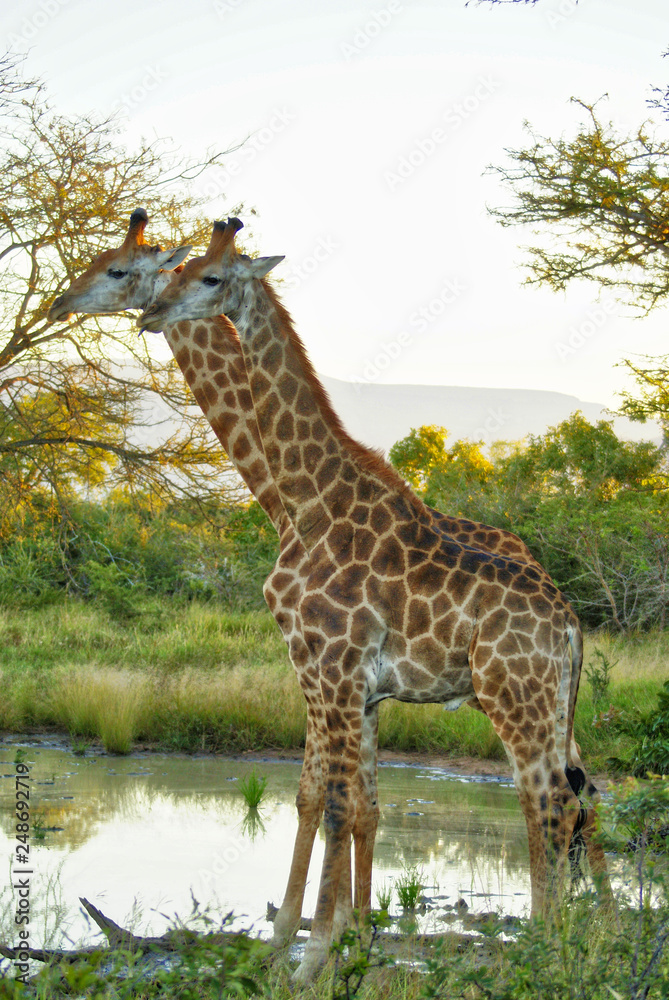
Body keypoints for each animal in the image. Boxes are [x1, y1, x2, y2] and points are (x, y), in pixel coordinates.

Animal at [48, 210, 556, 952]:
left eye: (118, 268)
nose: (60, 301)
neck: (291, 500)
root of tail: (563, 610)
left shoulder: (321, 663)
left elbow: (321, 796)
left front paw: (304, 936)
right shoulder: (357, 686)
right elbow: (359, 802)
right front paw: (349, 929)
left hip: (514, 698)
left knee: (551, 800)